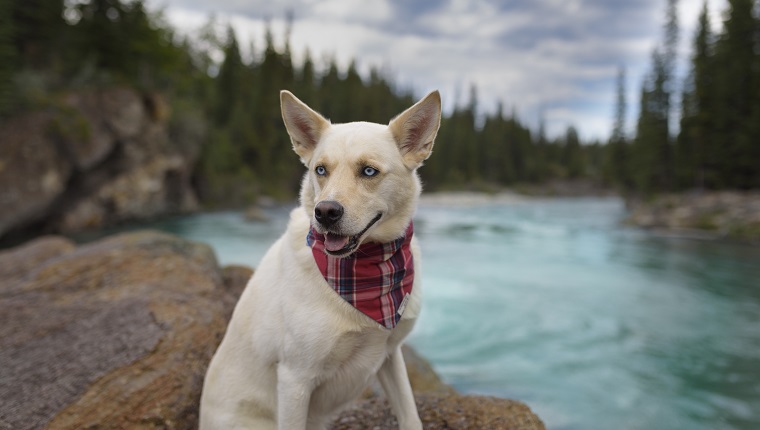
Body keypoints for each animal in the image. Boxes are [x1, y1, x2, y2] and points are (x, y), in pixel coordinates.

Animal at [199, 89, 442, 428]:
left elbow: (409, 414)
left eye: (369, 171)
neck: (363, 270)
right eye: (321, 170)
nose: (325, 212)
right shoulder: (294, 379)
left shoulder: (390, 353)